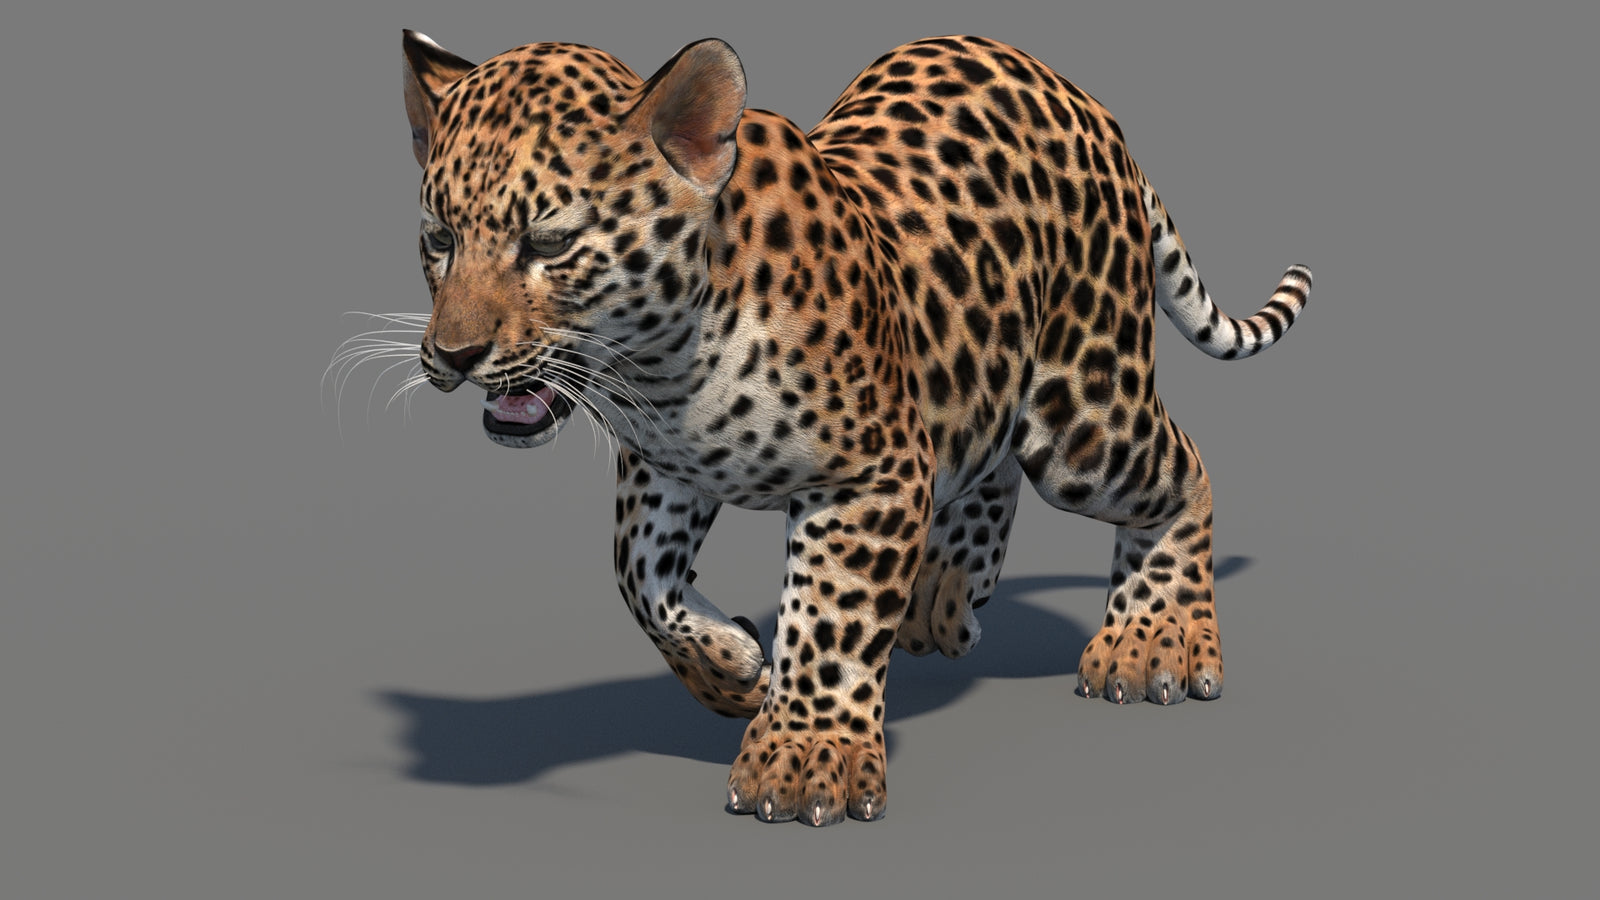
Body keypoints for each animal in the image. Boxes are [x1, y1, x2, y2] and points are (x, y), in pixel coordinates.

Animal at [394, 29, 1310, 826]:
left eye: (550, 243)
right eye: (438, 239)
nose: (454, 354)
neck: (661, 370)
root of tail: (1087, 104)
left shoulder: (869, 474)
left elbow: (830, 615)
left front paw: (804, 759)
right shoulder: (664, 471)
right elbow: (637, 576)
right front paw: (734, 669)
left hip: (1084, 411)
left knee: (1182, 468)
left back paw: (1154, 641)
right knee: (988, 460)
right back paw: (941, 594)